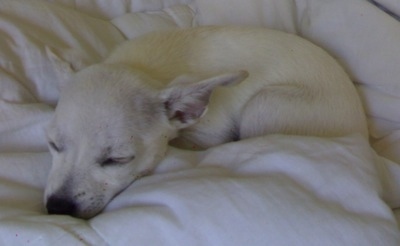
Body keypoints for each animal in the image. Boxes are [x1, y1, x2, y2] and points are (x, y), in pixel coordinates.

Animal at [44, 26, 368, 219]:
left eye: (118, 159)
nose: (57, 207)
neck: (144, 69)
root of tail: (361, 130)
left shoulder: (208, 134)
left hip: (264, 104)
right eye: (53, 145)